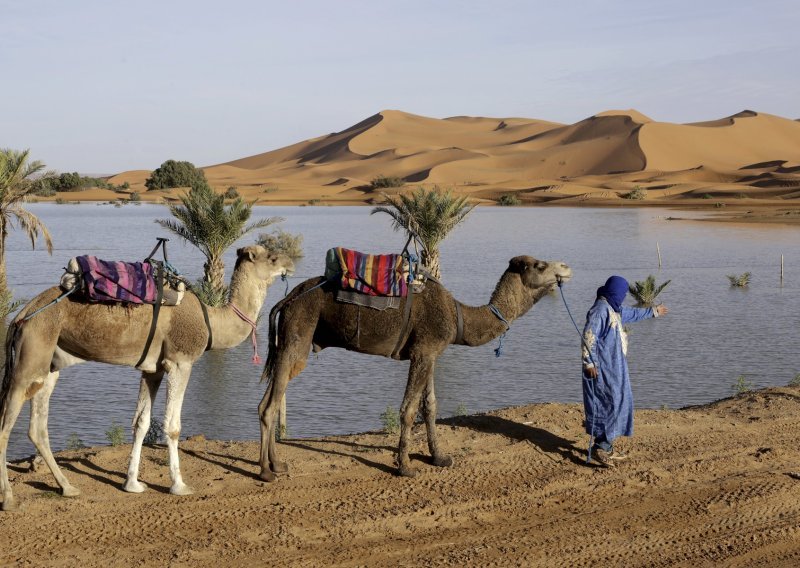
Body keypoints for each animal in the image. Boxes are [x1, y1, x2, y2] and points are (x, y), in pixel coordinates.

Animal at [0, 244, 294, 510]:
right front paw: (179, 485)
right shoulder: (180, 362)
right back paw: (10, 499)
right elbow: (172, 426)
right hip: (30, 357)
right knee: (6, 426)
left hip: (49, 363)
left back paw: (68, 487)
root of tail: (21, 315)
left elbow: (140, 422)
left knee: (37, 427)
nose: (291, 263)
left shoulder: (152, 369)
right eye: (272, 256)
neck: (211, 321)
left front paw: (132, 483)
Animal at [260, 255, 572, 482]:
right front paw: (405, 466)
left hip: (287, 343)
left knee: (267, 401)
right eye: (540, 265)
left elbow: (430, 406)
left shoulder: (430, 353)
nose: (566, 268)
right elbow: (408, 410)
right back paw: (265, 471)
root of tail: (286, 299)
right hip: (297, 338)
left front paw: (439, 458)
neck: (459, 316)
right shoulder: (423, 351)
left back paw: (278, 464)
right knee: (270, 406)